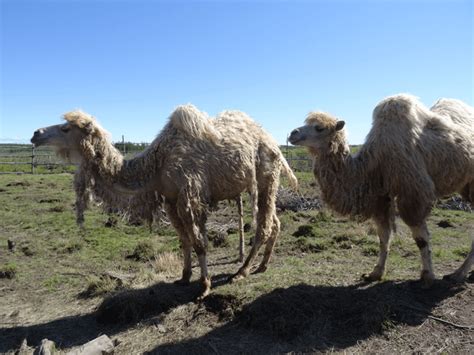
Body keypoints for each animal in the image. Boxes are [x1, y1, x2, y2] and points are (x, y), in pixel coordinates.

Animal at [30, 105, 296, 298]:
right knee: (275, 222)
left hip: (266, 176)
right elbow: (184, 241)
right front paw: (185, 276)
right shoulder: (170, 199)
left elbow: (199, 243)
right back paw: (262, 266)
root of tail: (272, 142)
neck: (157, 165)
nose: (35, 133)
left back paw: (242, 271)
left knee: (264, 226)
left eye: (66, 128)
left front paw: (204, 286)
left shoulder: (190, 195)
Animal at [288, 94, 474, 286]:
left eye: (319, 127)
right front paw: (375, 273)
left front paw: (427, 275)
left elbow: (421, 239)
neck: (377, 160)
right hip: (465, 186)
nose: (292, 133)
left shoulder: (413, 194)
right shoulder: (380, 197)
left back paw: (458, 274)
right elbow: (383, 237)